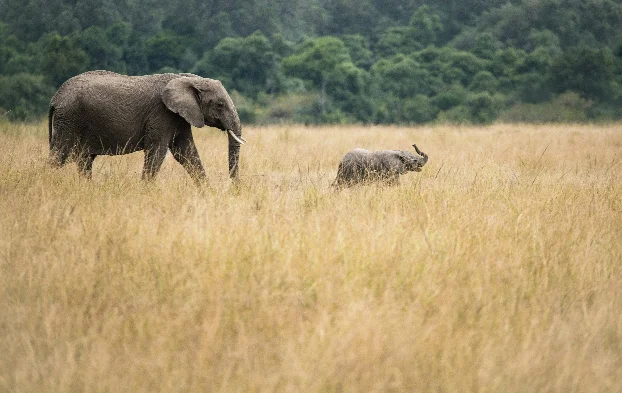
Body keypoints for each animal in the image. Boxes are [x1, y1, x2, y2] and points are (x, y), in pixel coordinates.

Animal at [47, 69, 246, 183]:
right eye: (219, 105)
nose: (234, 188)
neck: (187, 79)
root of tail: (55, 98)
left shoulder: (179, 116)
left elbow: (186, 152)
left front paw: (207, 193)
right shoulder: (162, 113)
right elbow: (157, 151)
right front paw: (145, 191)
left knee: (84, 160)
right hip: (70, 120)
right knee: (59, 157)